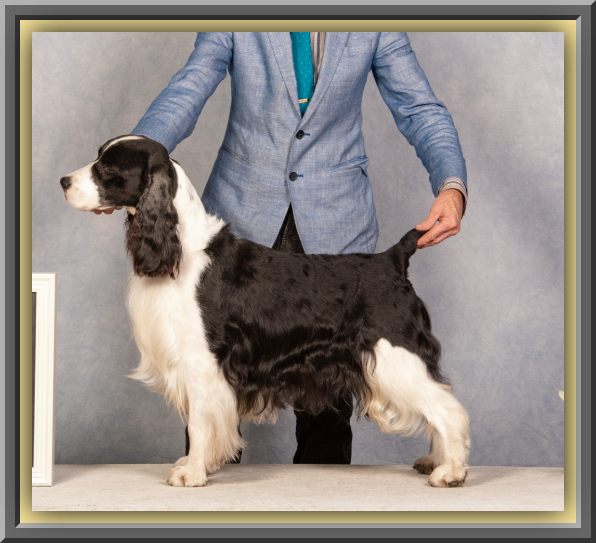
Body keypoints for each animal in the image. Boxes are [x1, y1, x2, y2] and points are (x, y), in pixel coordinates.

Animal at [60, 135, 470, 488]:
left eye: (108, 168)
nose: (63, 181)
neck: (183, 247)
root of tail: (392, 259)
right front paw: (200, 463)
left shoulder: (201, 360)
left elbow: (199, 422)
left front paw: (192, 472)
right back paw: (435, 461)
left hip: (395, 355)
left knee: (448, 408)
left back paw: (450, 471)